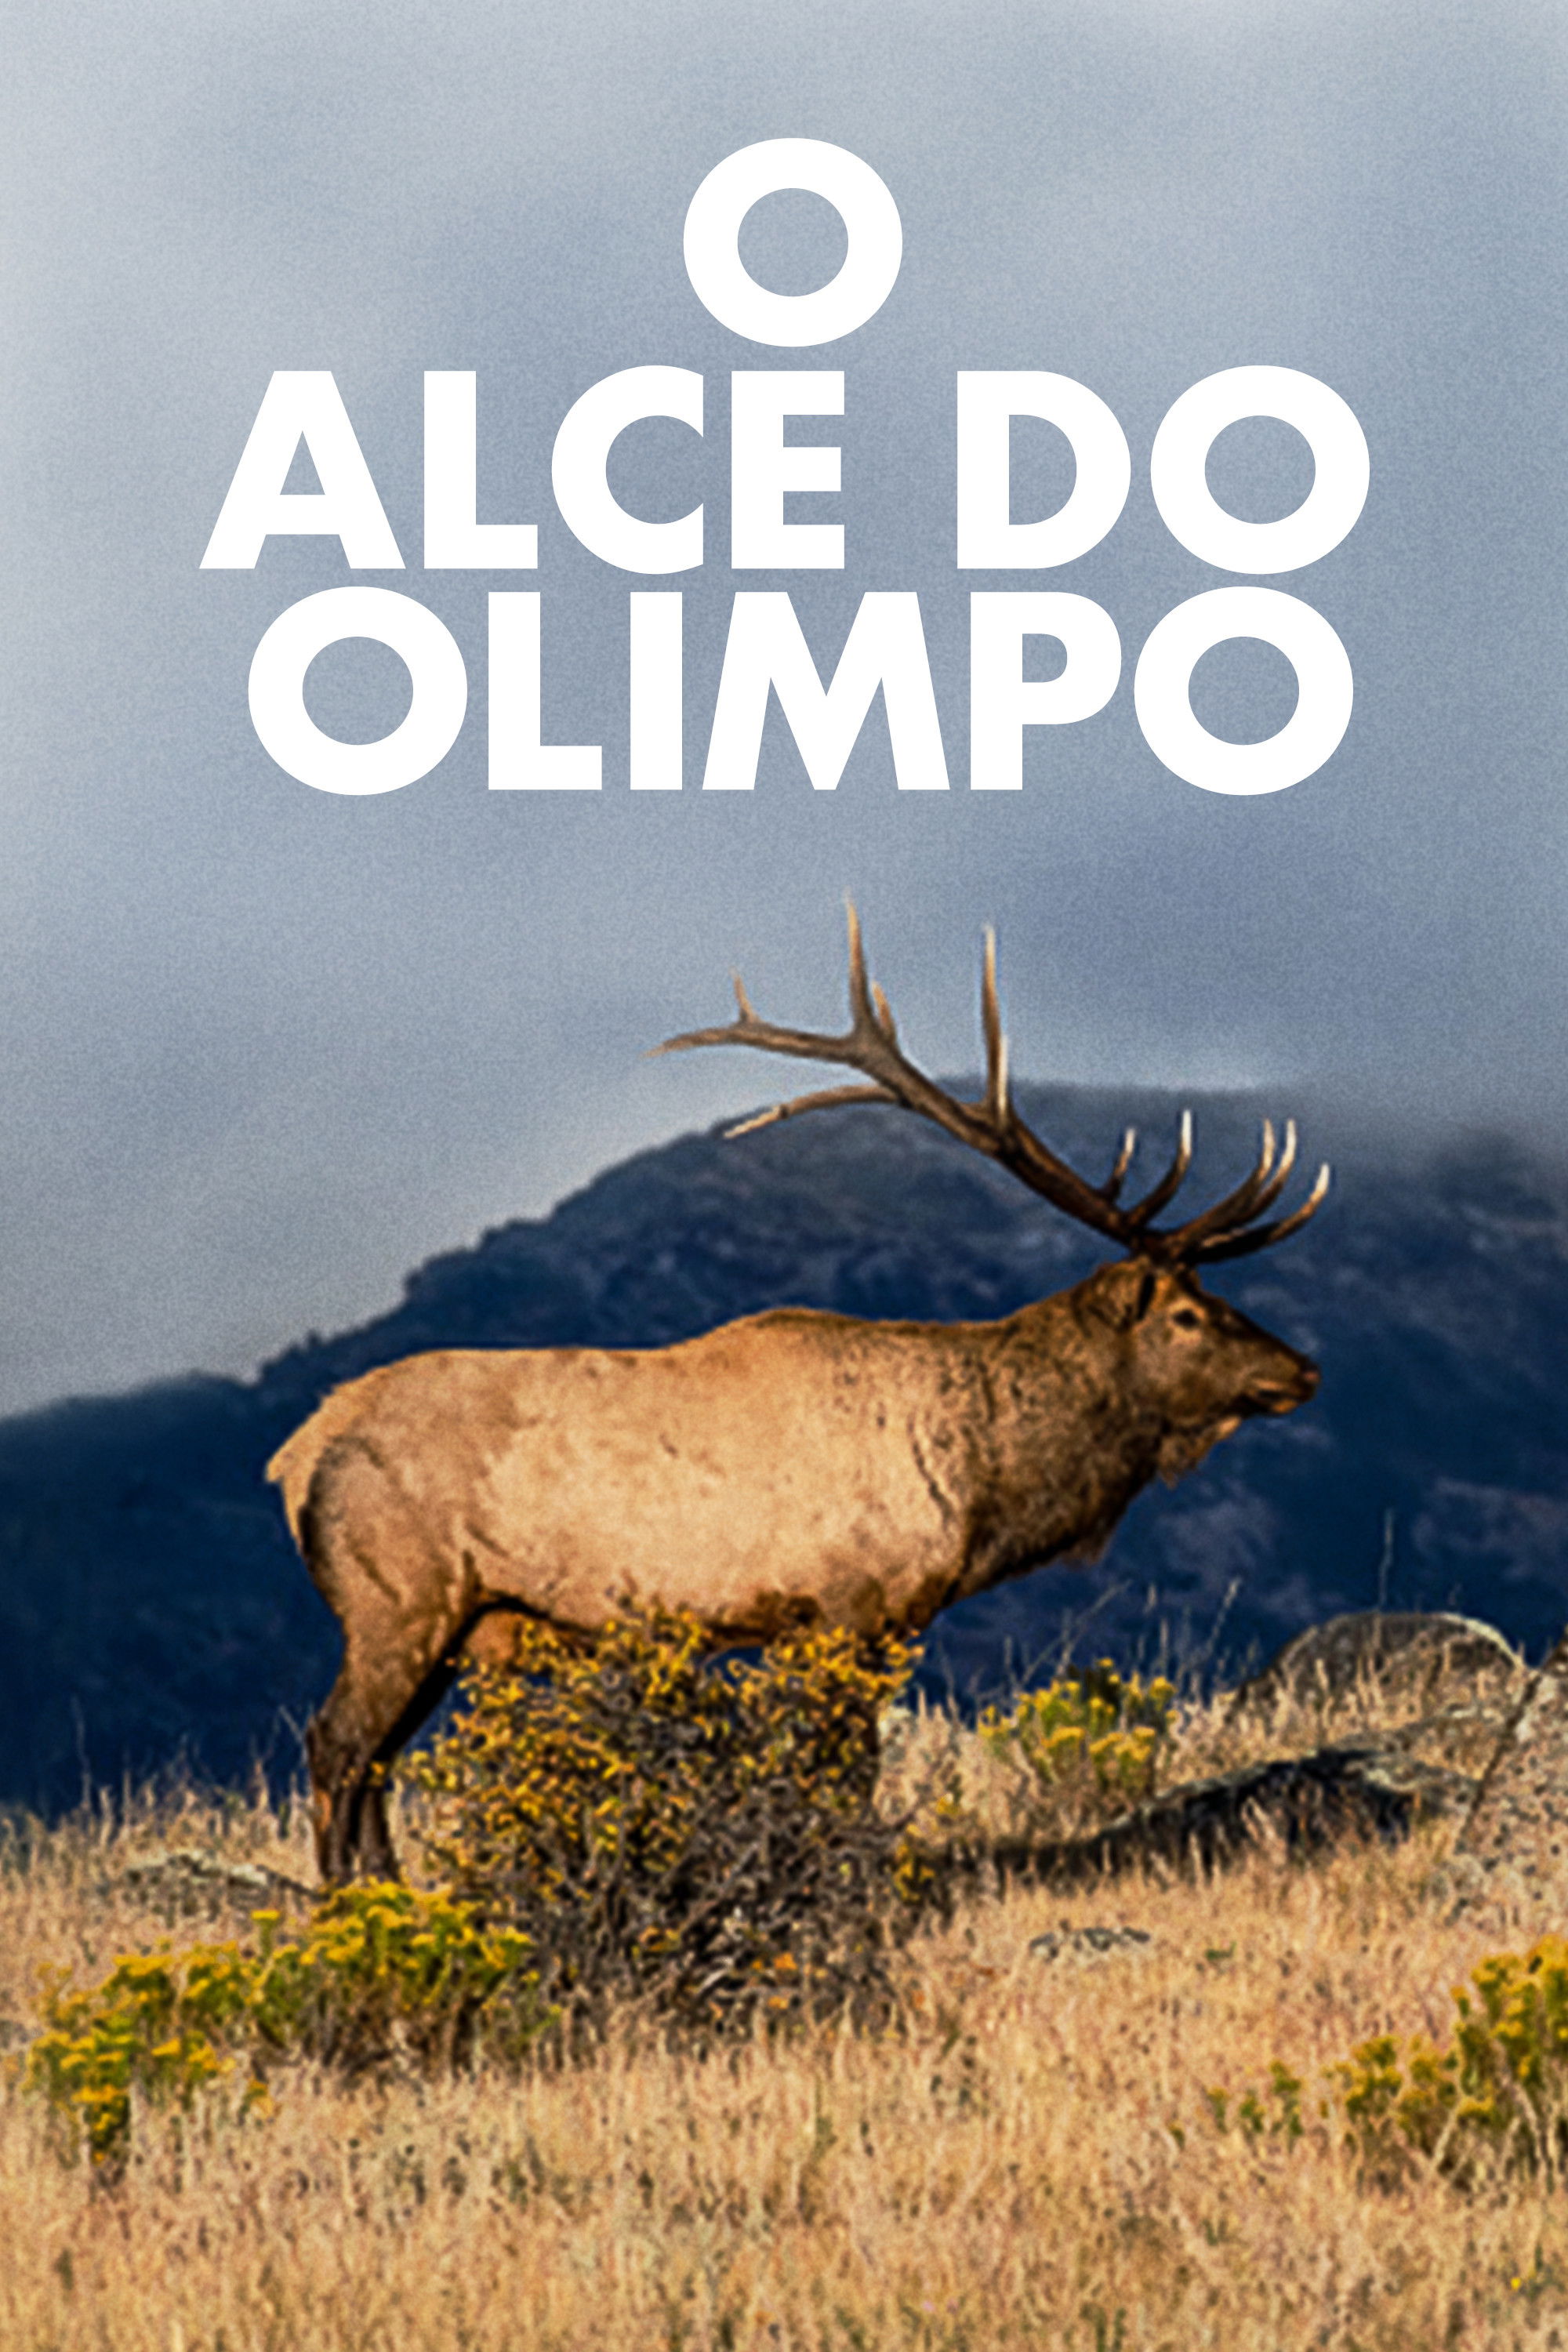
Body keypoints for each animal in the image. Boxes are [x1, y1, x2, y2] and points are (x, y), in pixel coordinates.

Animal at [271, 908, 1329, 1881]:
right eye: (1187, 1313)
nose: (1302, 1370)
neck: (978, 1488)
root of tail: (296, 1454)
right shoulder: (852, 1606)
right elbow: (841, 1775)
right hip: (396, 1596)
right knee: (337, 1746)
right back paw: (348, 1911)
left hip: (449, 1620)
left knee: (373, 1765)